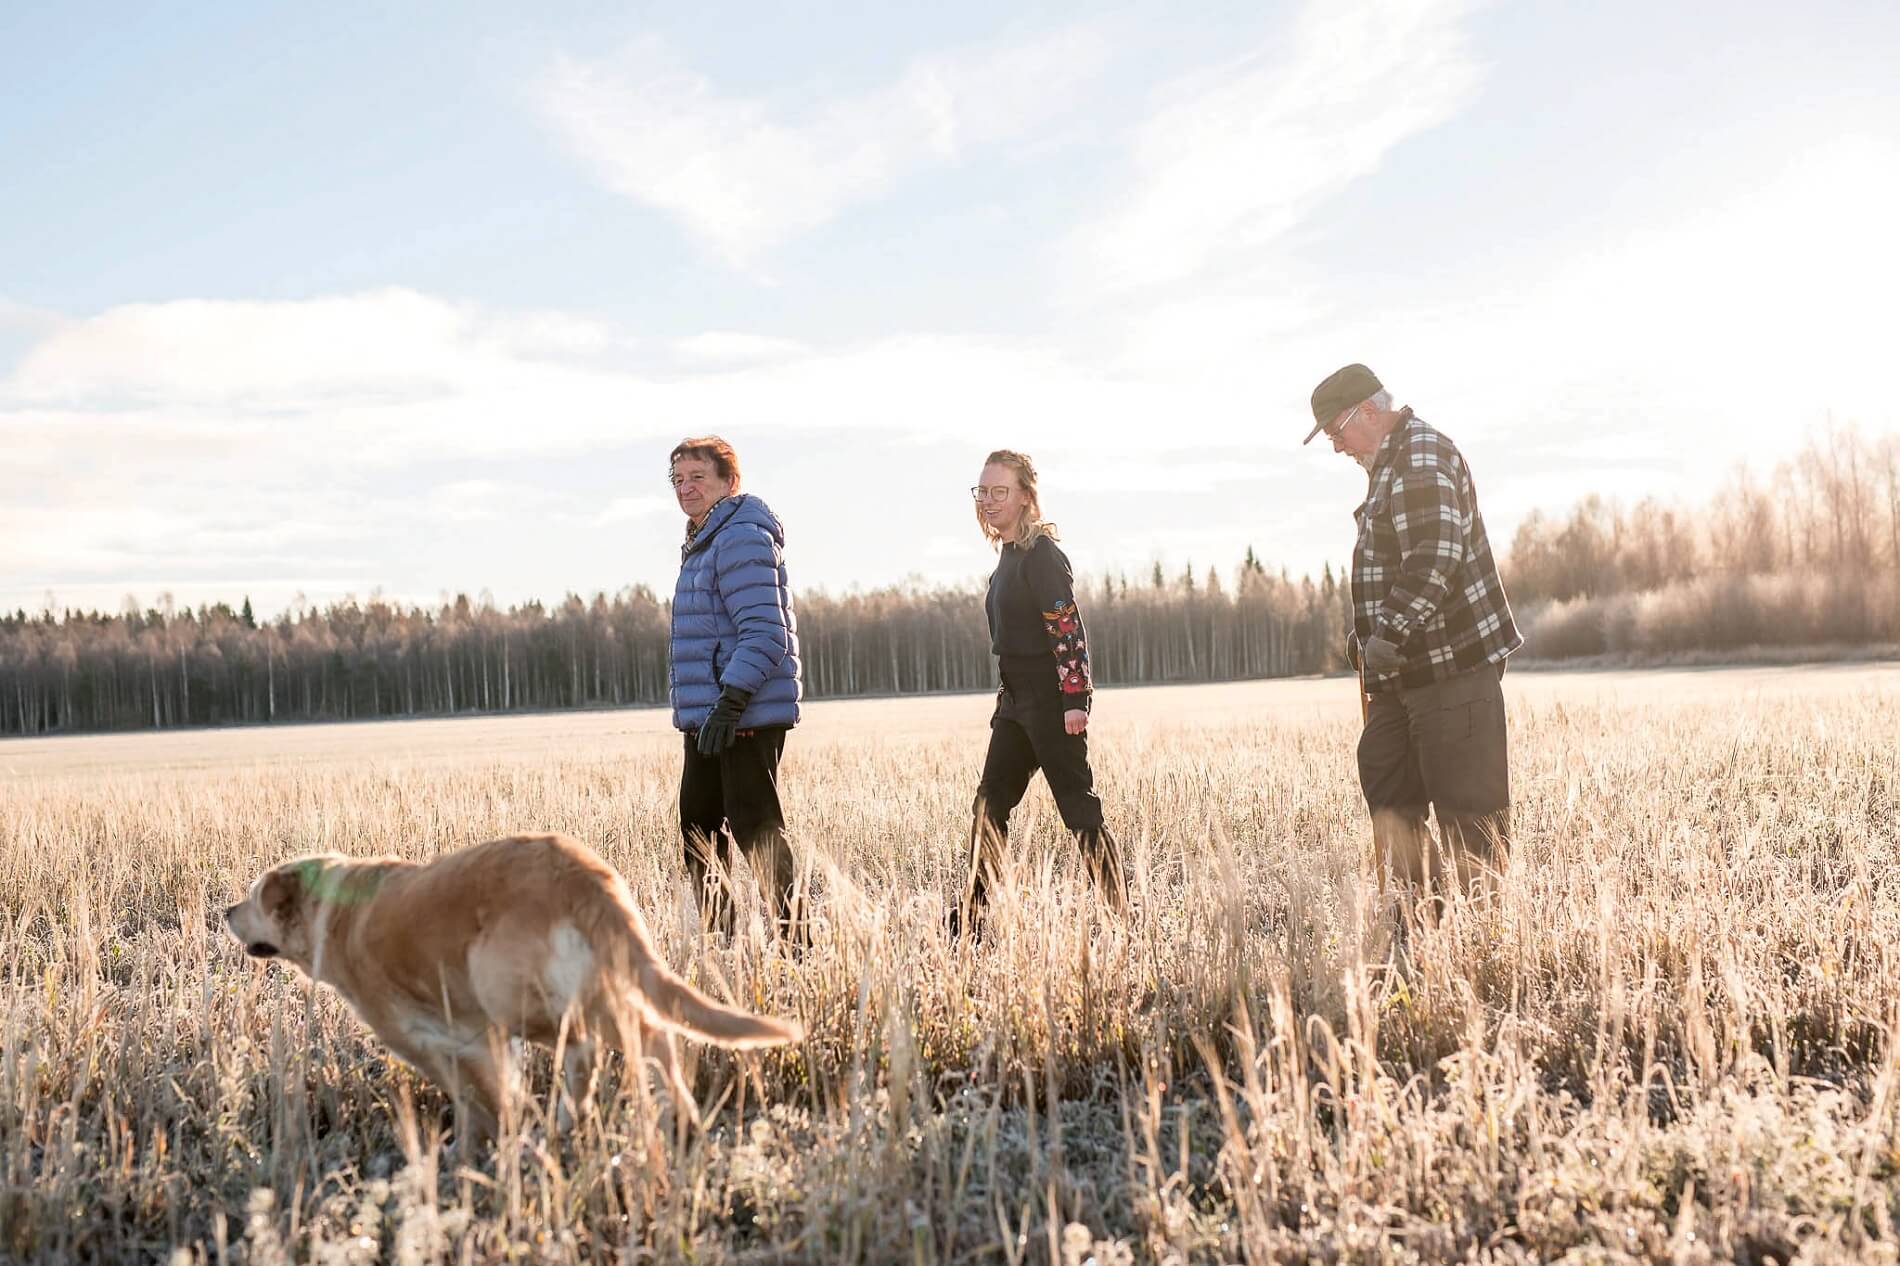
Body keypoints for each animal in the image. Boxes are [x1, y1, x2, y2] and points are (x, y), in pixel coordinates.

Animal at [224, 828, 801, 1140]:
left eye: (253, 898)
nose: (227, 912)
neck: (333, 914)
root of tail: (580, 873)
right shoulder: (484, 1040)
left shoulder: (435, 1042)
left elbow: (479, 1100)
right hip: (595, 982)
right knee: (648, 1035)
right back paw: (666, 1115)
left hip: (507, 990)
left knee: (603, 1043)